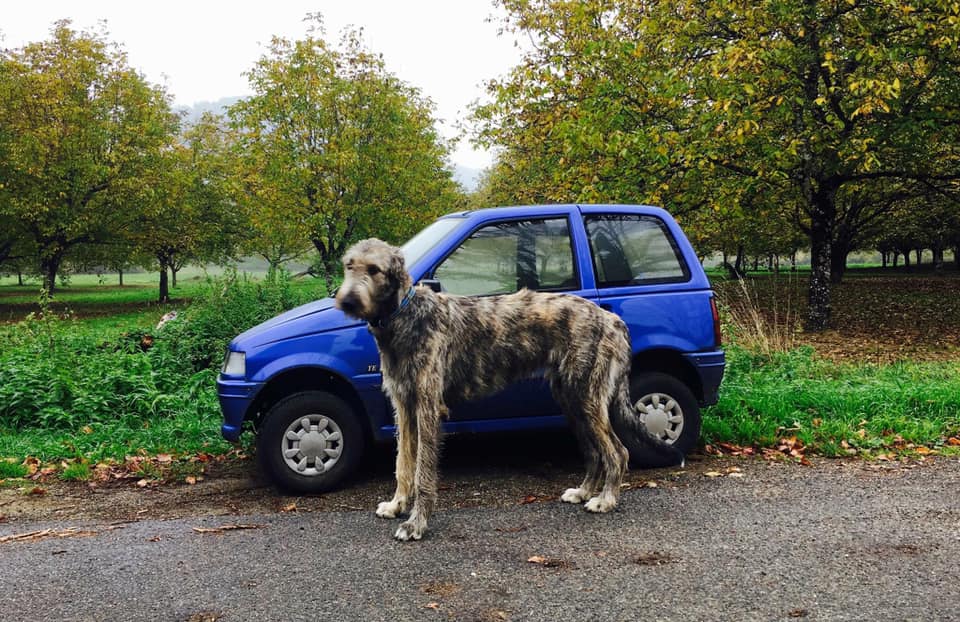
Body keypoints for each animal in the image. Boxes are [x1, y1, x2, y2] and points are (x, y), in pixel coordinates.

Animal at [338, 239, 684, 540]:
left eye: (374, 269)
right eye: (348, 265)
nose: (347, 301)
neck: (404, 314)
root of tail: (613, 320)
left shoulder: (427, 407)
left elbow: (423, 469)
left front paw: (416, 524)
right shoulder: (404, 406)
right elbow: (403, 463)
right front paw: (397, 505)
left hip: (587, 396)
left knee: (617, 451)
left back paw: (606, 499)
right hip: (571, 399)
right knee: (594, 451)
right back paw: (584, 491)